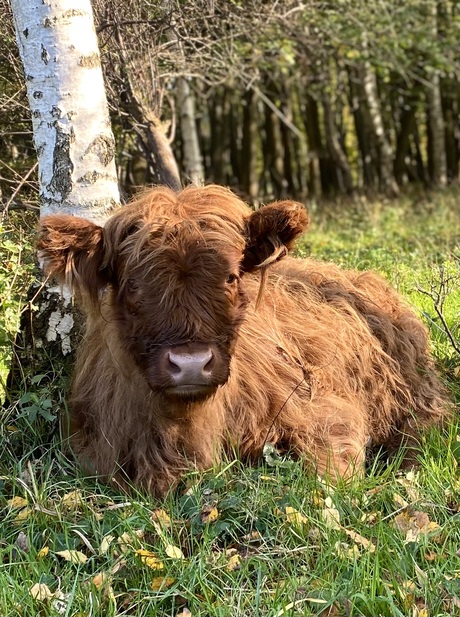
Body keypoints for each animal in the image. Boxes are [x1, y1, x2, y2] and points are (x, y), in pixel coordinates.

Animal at [37, 184, 448, 496]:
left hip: (417, 393)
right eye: (133, 284)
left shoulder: (322, 410)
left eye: (231, 277)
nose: (190, 364)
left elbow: (329, 476)